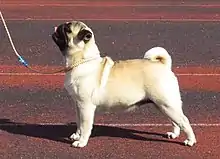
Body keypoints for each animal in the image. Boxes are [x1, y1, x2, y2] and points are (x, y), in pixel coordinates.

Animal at [51, 20, 196, 148]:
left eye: (67, 30)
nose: (58, 27)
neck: (81, 61)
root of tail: (163, 65)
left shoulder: (85, 106)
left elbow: (85, 126)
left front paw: (81, 142)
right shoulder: (78, 105)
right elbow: (79, 123)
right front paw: (77, 135)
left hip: (166, 104)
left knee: (184, 121)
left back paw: (190, 141)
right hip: (163, 106)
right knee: (175, 122)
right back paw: (174, 134)